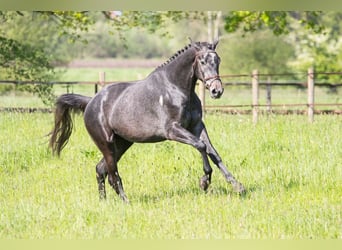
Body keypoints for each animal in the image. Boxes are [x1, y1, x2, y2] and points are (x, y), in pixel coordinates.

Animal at [48, 40, 246, 202]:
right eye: (202, 61)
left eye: (218, 60)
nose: (216, 91)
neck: (176, 89)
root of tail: (90, 102)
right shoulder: (173, 130)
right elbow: (201, 146)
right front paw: (204, 181)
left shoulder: (197, 126)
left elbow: (213, 153)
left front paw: (238, 186)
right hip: (106, 143)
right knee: (112, 174)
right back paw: (126, 202)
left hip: (122, 143)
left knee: (100, 169)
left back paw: (104, 202)